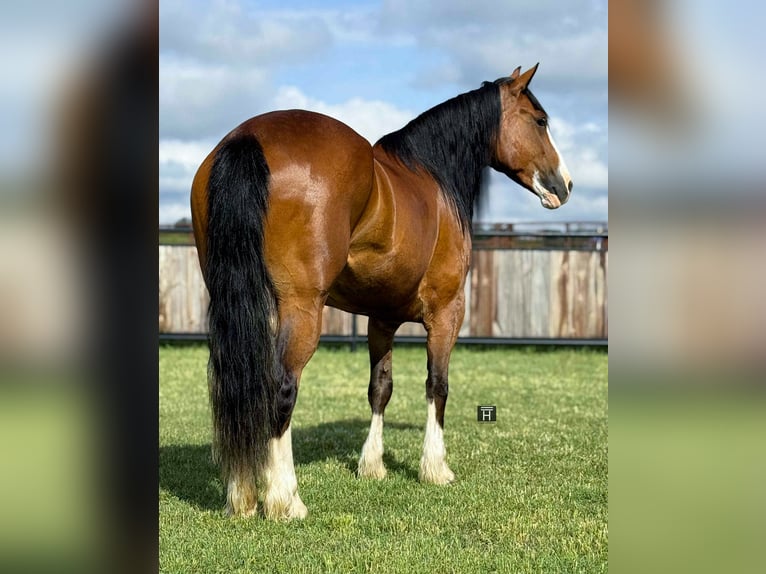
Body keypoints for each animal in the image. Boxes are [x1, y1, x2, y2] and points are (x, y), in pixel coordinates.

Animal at [190, 64, 572, 520]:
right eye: (540, 121)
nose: (565, 186)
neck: (434, 177)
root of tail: (247, 136)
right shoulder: (447, 312)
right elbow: (438, 385)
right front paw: (435, 468)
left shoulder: (382, 318)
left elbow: (380, 388)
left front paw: (371, 465)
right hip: (302, 308)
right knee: (280, 387)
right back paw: (286, 499)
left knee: (239, 384)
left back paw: (242, 497)